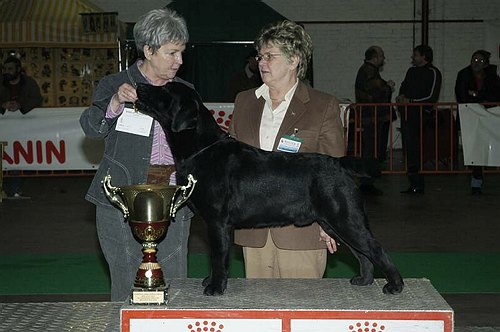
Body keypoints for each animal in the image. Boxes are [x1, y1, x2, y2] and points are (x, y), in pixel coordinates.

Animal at [136, 82, 402, 296]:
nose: (140, 84)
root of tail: (339, 162)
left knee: (375, 249)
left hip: (345, 218)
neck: (201, 148)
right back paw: (364, 280)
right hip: (334, 223)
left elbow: (218, 257)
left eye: (165, 90)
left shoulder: (217, 221)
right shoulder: (216, 224)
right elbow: (216, 256)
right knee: (363, 254)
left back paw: (395, 285)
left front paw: (215, 287)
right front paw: (211, 281)